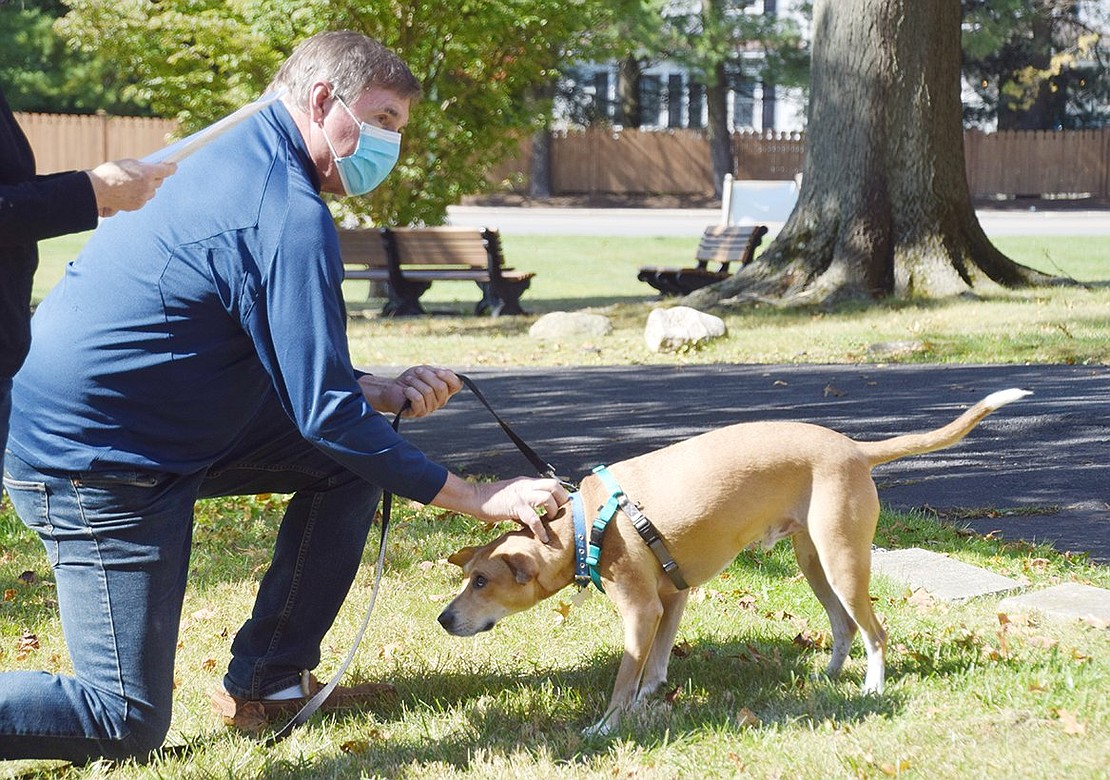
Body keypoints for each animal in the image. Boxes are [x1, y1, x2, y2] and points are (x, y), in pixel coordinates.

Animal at [437, 388, 1025, 736]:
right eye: (467, 577)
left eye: (482, 582)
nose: (443, 618)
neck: (584, 525)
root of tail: (857, 448)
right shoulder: (672, 598)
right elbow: (655, 667)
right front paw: (649, 703)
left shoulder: (642, 611)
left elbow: (626, 678)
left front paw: (606, 727)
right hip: (814, 561)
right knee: (842, 626)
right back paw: (827, 677)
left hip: (842, 558)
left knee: (874, 630)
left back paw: (872, 688)